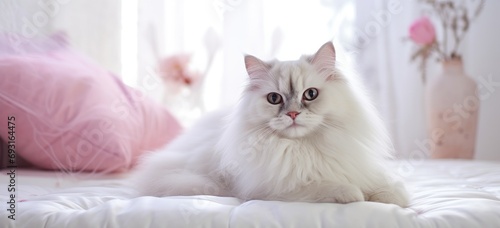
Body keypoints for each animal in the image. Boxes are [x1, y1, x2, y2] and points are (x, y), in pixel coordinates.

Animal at [131, 41, 408, 207]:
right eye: (274, 99)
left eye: (310, 94)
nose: (293, 114)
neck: (303, 149)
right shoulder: (276, 189)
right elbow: (328, 186)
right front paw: (354, 195)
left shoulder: (355, 165)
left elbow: (385, 184)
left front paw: (394, 198)